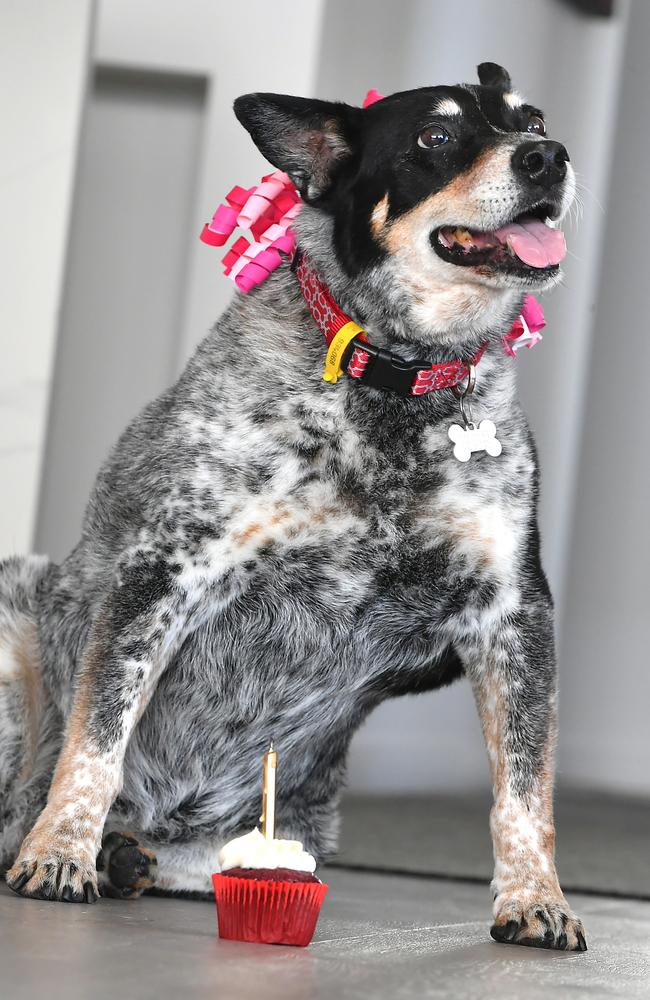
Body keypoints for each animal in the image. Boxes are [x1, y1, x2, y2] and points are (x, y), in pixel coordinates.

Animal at [0, 58, 584, 948]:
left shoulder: (514, 614)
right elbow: (96, 735)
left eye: (533, 119)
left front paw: (536, 898)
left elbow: (525, 788)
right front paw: (60, 852)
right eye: (436, 137)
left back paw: (127, 857)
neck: (392, 376)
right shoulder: (165, 572)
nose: (548, 158)